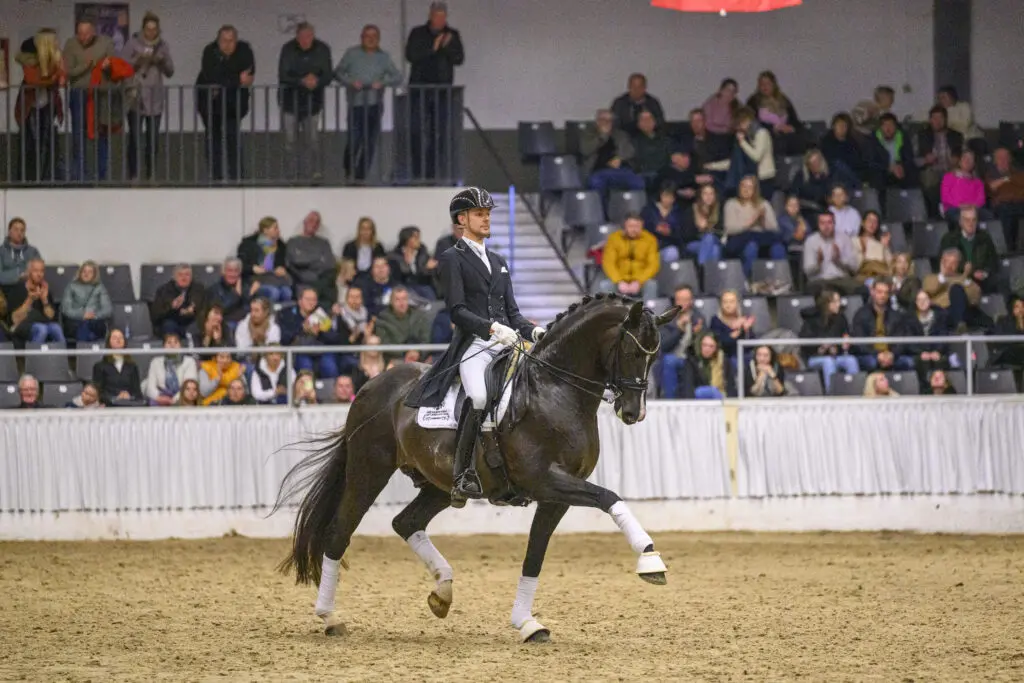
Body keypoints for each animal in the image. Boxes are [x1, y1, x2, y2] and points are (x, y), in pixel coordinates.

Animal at [275, 293, 679, 642]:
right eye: (630, 351)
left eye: (655, 356)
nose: (634, 412)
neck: (554, 391)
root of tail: (371, 385)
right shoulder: (546, 480)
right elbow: (610, 497)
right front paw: (650, 560)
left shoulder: (557, 496)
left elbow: (535, 555)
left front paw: (527, 623)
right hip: (368, 470)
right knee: (338, 534)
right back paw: (330, 617)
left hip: (439, 484)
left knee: (405, 522)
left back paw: (442, 591)